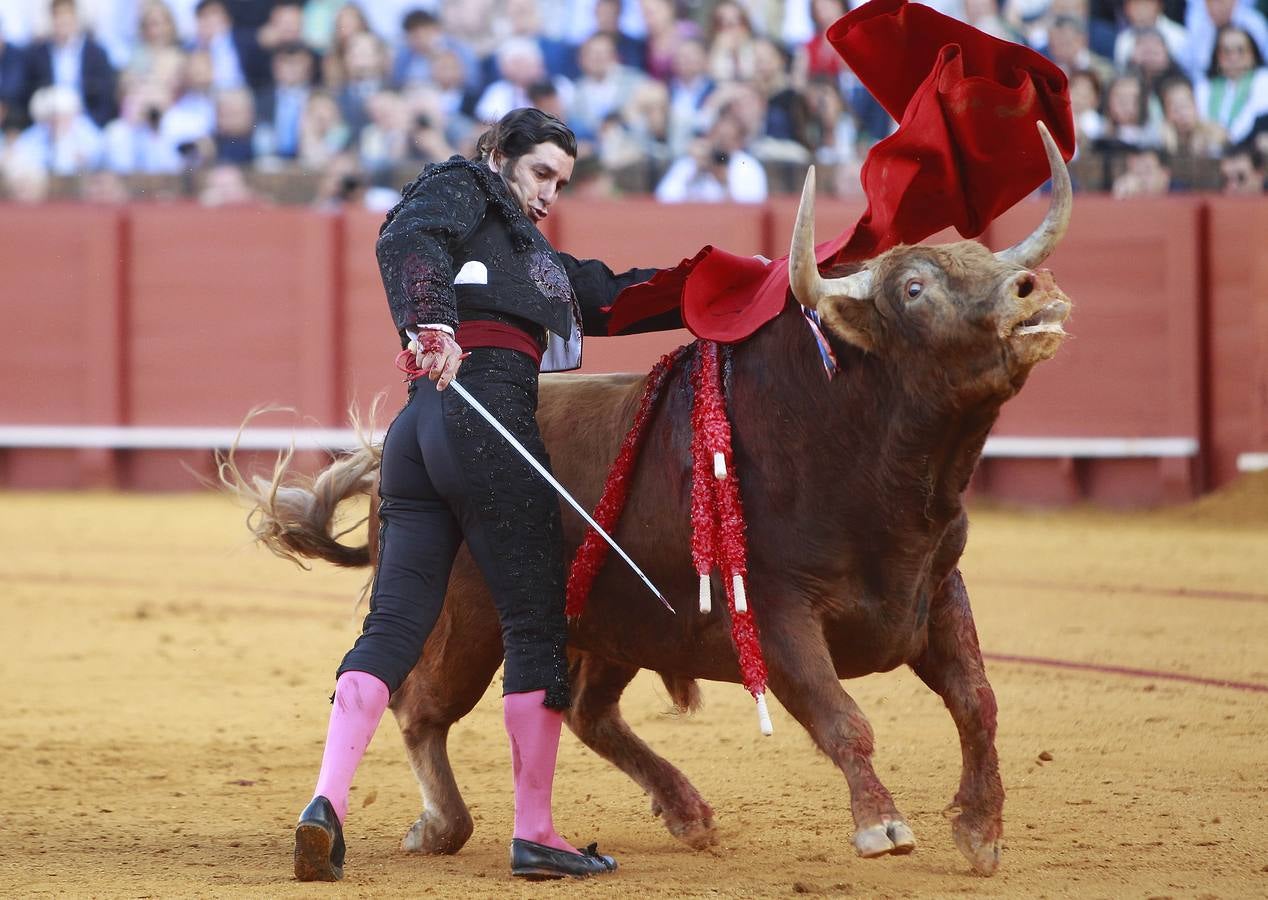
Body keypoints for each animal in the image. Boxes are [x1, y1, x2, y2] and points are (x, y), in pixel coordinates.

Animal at [228, 123, 1070, 877]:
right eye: (915, 287)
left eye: (982, 259)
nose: (1030, 292)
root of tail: (387, 449)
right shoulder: (776, 609)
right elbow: (841, 716)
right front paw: (882, 825)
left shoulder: (939, 588)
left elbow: (978, 700)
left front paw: (981, 831)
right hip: (466, 617)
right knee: (419, 704)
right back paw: (436, 827)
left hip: (609, 624)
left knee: (576, 709)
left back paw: (681, 810)